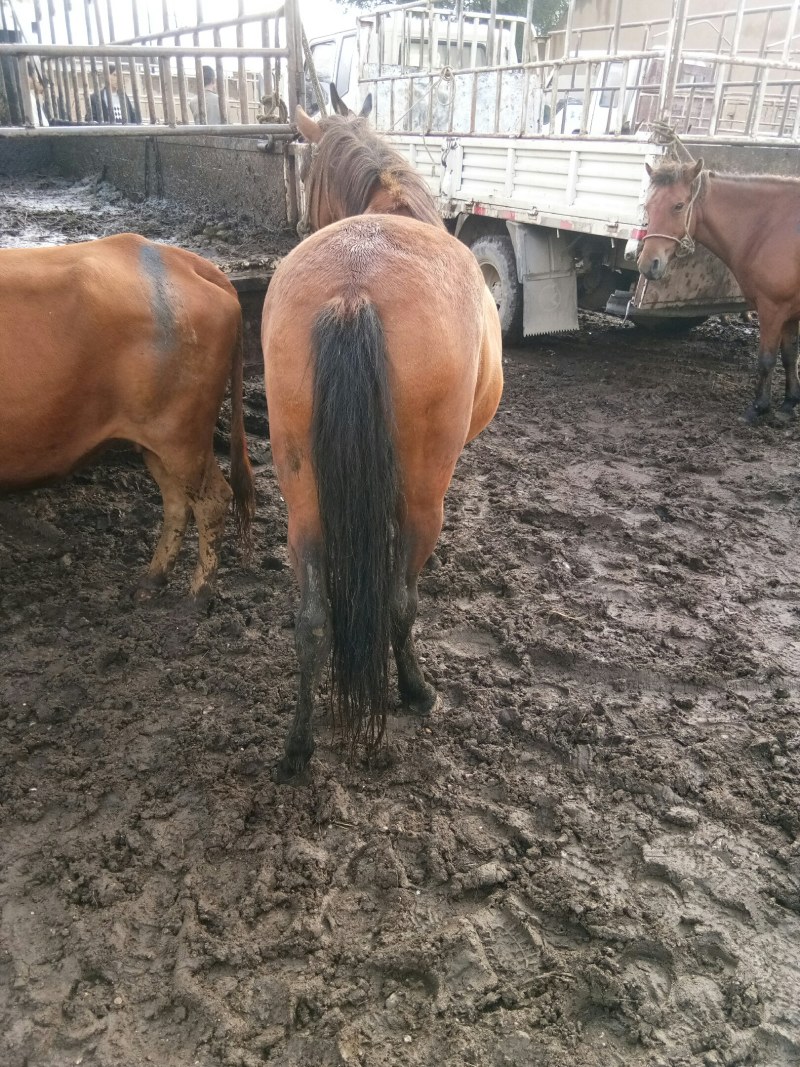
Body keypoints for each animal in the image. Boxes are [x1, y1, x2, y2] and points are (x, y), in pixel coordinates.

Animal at [0, 233, 255, 599]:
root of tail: (183, 260)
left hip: (182, 435)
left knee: (212, 500)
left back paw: (198, 594)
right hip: (158, 438)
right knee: (177, 502)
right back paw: (151, 580)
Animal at [261, 86, 503, 781]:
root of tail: (353, 289)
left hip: (303, 498)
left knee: (312, 620)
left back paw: (297, 748)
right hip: (423, 499)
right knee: (400, 601)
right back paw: (417, 691)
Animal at [637, 157, 800, 421]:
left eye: (678, 206)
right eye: (648, 206)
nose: (648, 264)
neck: (772, 228)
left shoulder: (772, 309)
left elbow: (766, 359)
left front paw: (758, 407)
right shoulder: (790, 311)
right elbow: (789, 356)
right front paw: (788, 403)